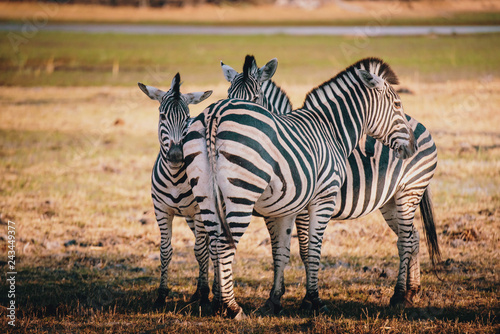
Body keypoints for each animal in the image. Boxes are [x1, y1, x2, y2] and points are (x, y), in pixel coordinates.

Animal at [138, 73, 212, 308]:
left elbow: (200, 251)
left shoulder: (198, 211)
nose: (177, 155)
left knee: (210, 246)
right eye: (162, 116)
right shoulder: (161, 210)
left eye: (187, 118)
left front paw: (204, 297)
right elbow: (165, 251)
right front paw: (161, 296)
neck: (174, 178)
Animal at [184, 57, 418, 318]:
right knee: (224, 245)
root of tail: (215, 112)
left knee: (214, 242)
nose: (412, 147)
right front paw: (313, 300)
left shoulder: (286, 207)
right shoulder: (323, 197)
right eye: (397, 104)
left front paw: (275, 301)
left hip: (206, 194)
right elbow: (313, 249)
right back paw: (232, 307)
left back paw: (217, 304)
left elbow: (282, 251)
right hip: (240, 195)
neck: (332, 130)